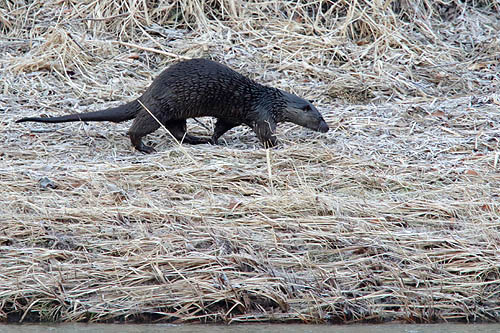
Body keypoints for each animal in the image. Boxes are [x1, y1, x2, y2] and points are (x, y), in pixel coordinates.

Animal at [16, 58, 328, 153]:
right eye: (319, 117)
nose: (326, 128)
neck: (268, 99)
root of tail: (147, 93)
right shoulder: (263, 114)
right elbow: (265, 133)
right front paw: (278, 145)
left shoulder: (236, 115)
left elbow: (222, 125)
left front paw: (213, 139)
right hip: (161, 107)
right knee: (137, 127)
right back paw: (143, 147)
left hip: (177, 112)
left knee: (178, 132)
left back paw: (197, 140)